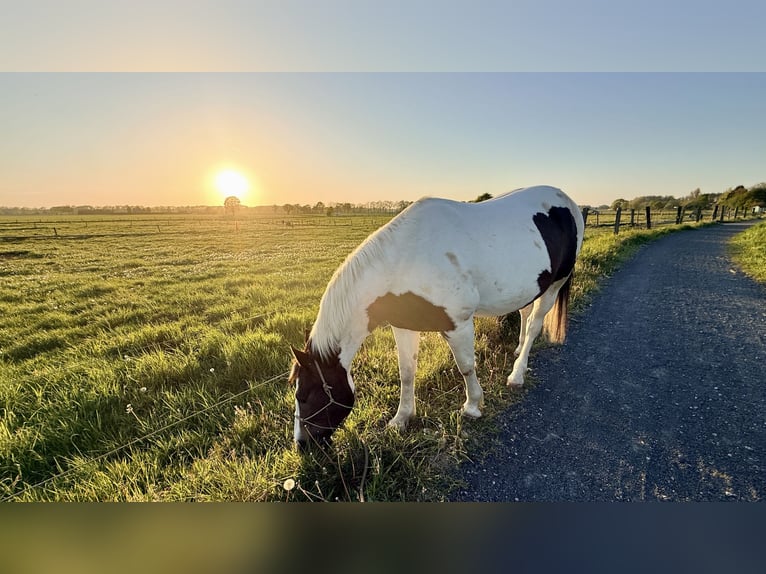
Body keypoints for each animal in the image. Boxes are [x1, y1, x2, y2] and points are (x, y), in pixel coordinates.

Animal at [289, 185, 584, 450]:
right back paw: (517, 349)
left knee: (535, 325)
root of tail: (568, 201)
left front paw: (472, 406)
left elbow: (466, 366)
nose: (302, 445)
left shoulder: (458, 325)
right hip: (532, 286)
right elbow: (407, 372)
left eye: (303, 396)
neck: (406, 261)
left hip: (556, 283)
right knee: (524, 313)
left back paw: (516, 374)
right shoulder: (403, 326)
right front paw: (401, 419)